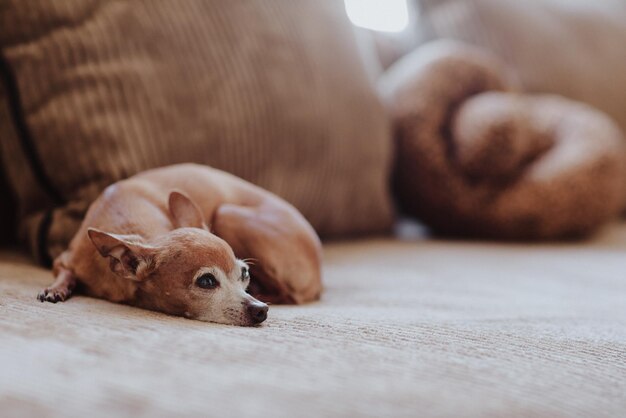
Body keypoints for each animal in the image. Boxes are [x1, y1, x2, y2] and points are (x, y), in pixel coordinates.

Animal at [37, 164, 322, 326]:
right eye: (206, 281)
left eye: (245, 274)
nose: (261, 309)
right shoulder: (64, 260)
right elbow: (65, 273)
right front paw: (56, 289)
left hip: (227, 213)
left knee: (289, 294)